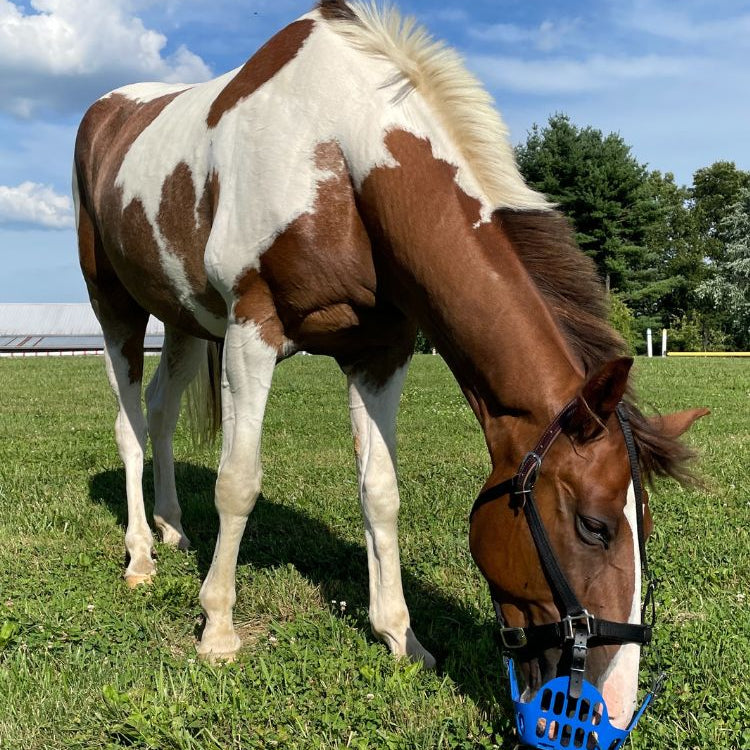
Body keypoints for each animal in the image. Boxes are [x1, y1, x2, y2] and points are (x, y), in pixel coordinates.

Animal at [73, 0, 708, 740]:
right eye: (594, 527)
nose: (607, 712)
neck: (337, 149)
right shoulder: (251, 332)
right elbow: (238, 482)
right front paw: (219, 630)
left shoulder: (380, 355)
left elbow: (380, 492)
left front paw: (402, 637)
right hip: (116, 309)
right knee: (129, 427)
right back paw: (141, 554)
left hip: (181, 321)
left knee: (161, 414)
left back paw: (173, 528)